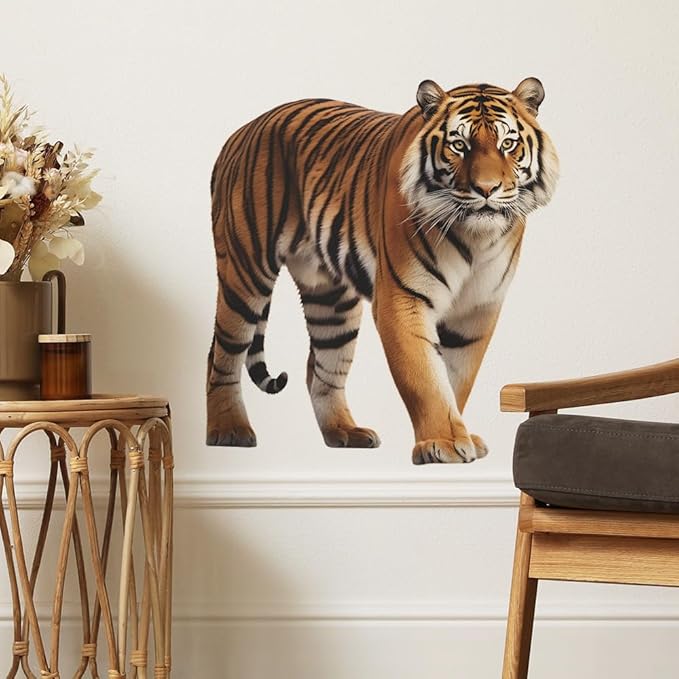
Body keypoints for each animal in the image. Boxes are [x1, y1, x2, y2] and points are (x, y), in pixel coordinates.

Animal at [207, 77, 558, 464]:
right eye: (459, 145)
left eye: (507, 144)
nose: (486, 189)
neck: (476, 238)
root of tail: (241, 131)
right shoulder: (403, 299)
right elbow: (425, 377)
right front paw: (443, 441)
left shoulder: (478, 309)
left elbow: (456, 377)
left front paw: (460, 434)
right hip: (245, 271)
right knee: (221, 354)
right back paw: (229, 430)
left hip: (331, 300)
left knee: (320, 368)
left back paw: (345, 432)